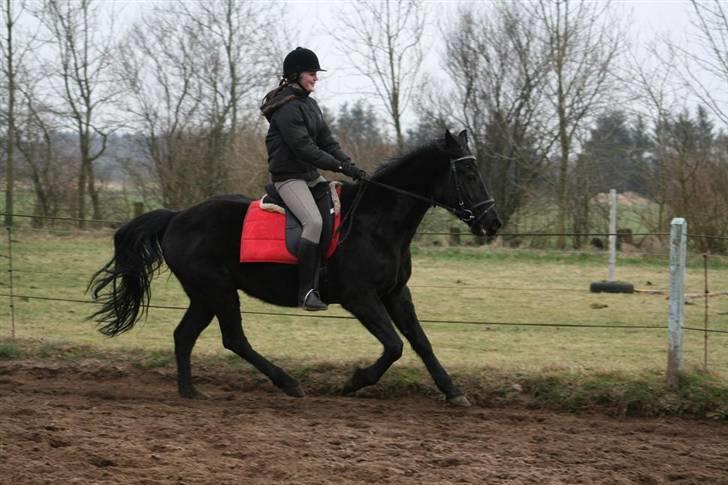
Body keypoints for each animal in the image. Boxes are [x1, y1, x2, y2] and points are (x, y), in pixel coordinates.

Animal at [89, 130, 500, 404]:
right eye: (468, 175)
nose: (492, 223)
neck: (377, 220)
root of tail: (176, 217)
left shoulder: (396, 293)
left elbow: (420, 341)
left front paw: (453, 391)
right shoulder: (360, 297)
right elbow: (395, 345)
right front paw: (353, 381)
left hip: (205, 295)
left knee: (184, 335)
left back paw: (190, 391)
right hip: (218, 290)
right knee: (233, 338)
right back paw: (287, 383)